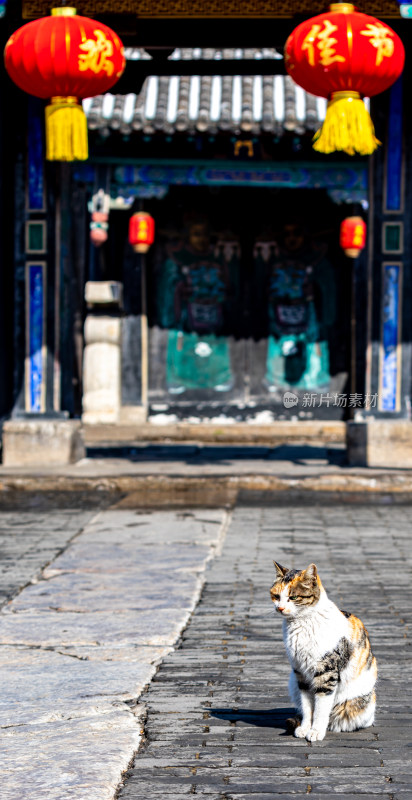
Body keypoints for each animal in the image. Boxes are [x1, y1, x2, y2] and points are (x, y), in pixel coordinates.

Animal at [270, 560, 376, 740]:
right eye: (276, 596)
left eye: (293, 597)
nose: (281, 608)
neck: (300, 623)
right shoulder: (300, 673)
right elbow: (308, 706)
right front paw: (306, 728)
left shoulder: (326, 673)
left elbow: (321, 707)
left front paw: (316, 731)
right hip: (293, 683)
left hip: (353, 707)